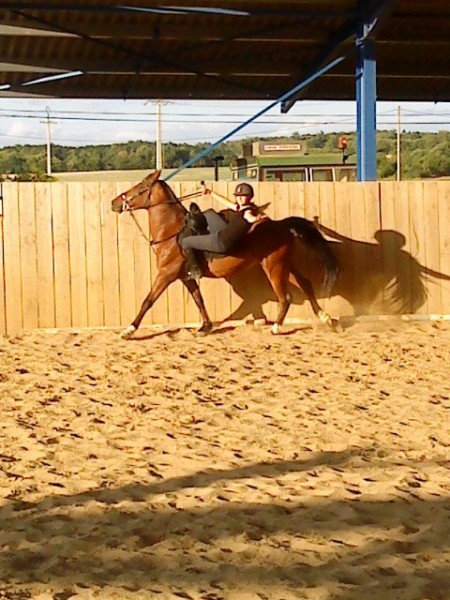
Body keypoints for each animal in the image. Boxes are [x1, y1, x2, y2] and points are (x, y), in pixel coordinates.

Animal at [110, 169, 340, 338]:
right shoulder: (186, 277)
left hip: (275, 268)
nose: (114, 202)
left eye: (140, 188)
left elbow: (147, 301)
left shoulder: (166, 274)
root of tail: (281, 225)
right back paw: (326, 318)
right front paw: (205, 327)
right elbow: (199, 300)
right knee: (306, 285)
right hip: (287, 266)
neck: (173, 232)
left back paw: (276, 327)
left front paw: (129, 330)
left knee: (286, 297)